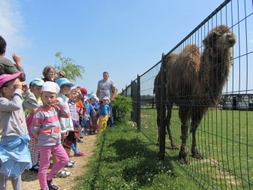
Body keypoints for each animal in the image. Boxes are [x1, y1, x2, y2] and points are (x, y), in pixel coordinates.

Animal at [165, 24, 236, 165]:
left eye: (229, 31)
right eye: (214, 36)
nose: (231, 37)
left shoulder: (200, 106)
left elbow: (194, 127)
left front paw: (195, 152)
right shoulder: (185, 103)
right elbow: (185, 128)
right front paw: (182, 156)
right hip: (167, 99)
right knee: (166, 119)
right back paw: (170, 144)